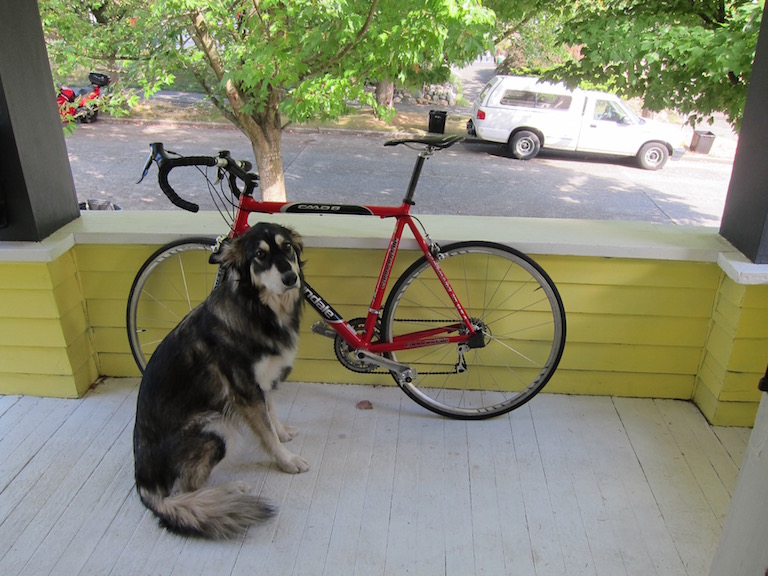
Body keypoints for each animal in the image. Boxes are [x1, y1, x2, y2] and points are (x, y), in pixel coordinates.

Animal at [134, 222, 308, 540]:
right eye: (260, 255)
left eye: (287, 247)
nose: (291, 277)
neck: (256, 309)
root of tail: (143, 483)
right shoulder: (245, 392)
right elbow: (266, 433)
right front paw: (286, 460)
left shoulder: (261, 382)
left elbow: (271, 413)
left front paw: (282, 432)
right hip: (219, 428)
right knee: (185, 490)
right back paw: (229, 491)